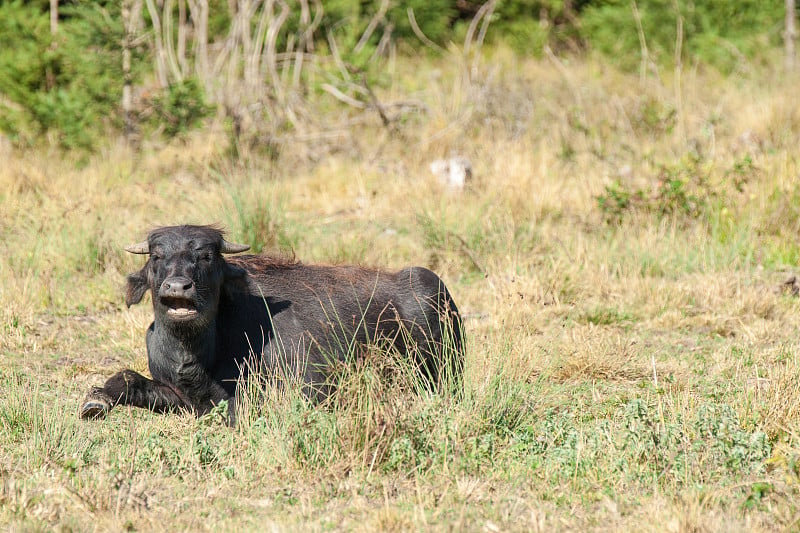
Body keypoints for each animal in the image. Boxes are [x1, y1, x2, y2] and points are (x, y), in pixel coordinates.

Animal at [80, 222, 462, 422]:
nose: (178, 287)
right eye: (158, 256)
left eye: (206, 256)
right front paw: (95, 399)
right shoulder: (176, 393)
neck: (195, 355)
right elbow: (127, 378)